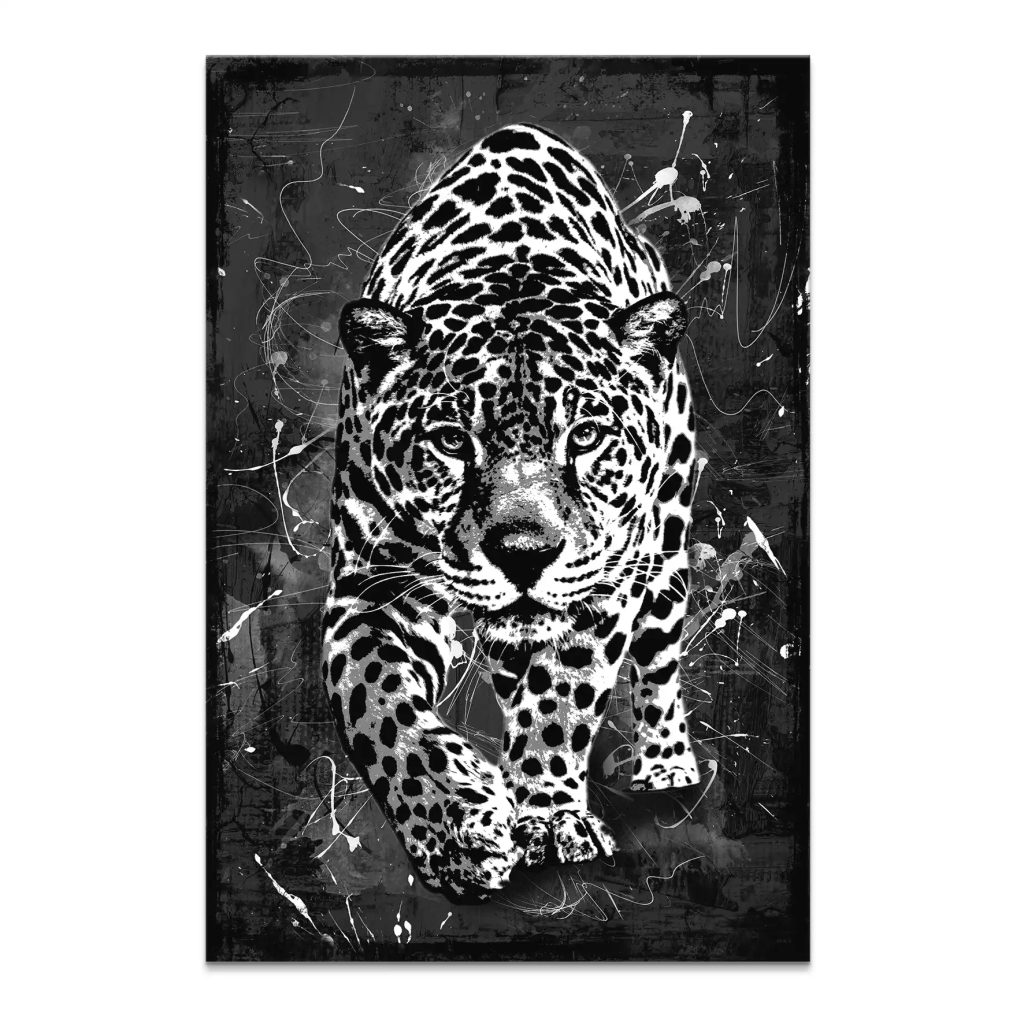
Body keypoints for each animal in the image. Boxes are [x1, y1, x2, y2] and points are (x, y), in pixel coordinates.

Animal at [320, 123, 702, 903]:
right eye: (449, 440)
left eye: (583, 436)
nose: (524, 552)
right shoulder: (372, 591)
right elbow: (376, 706)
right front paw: (456, 830)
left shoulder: (603, 587)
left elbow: (561, 698)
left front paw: (549, 817)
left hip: (667, 551)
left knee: (658, 663)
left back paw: (667, 765)